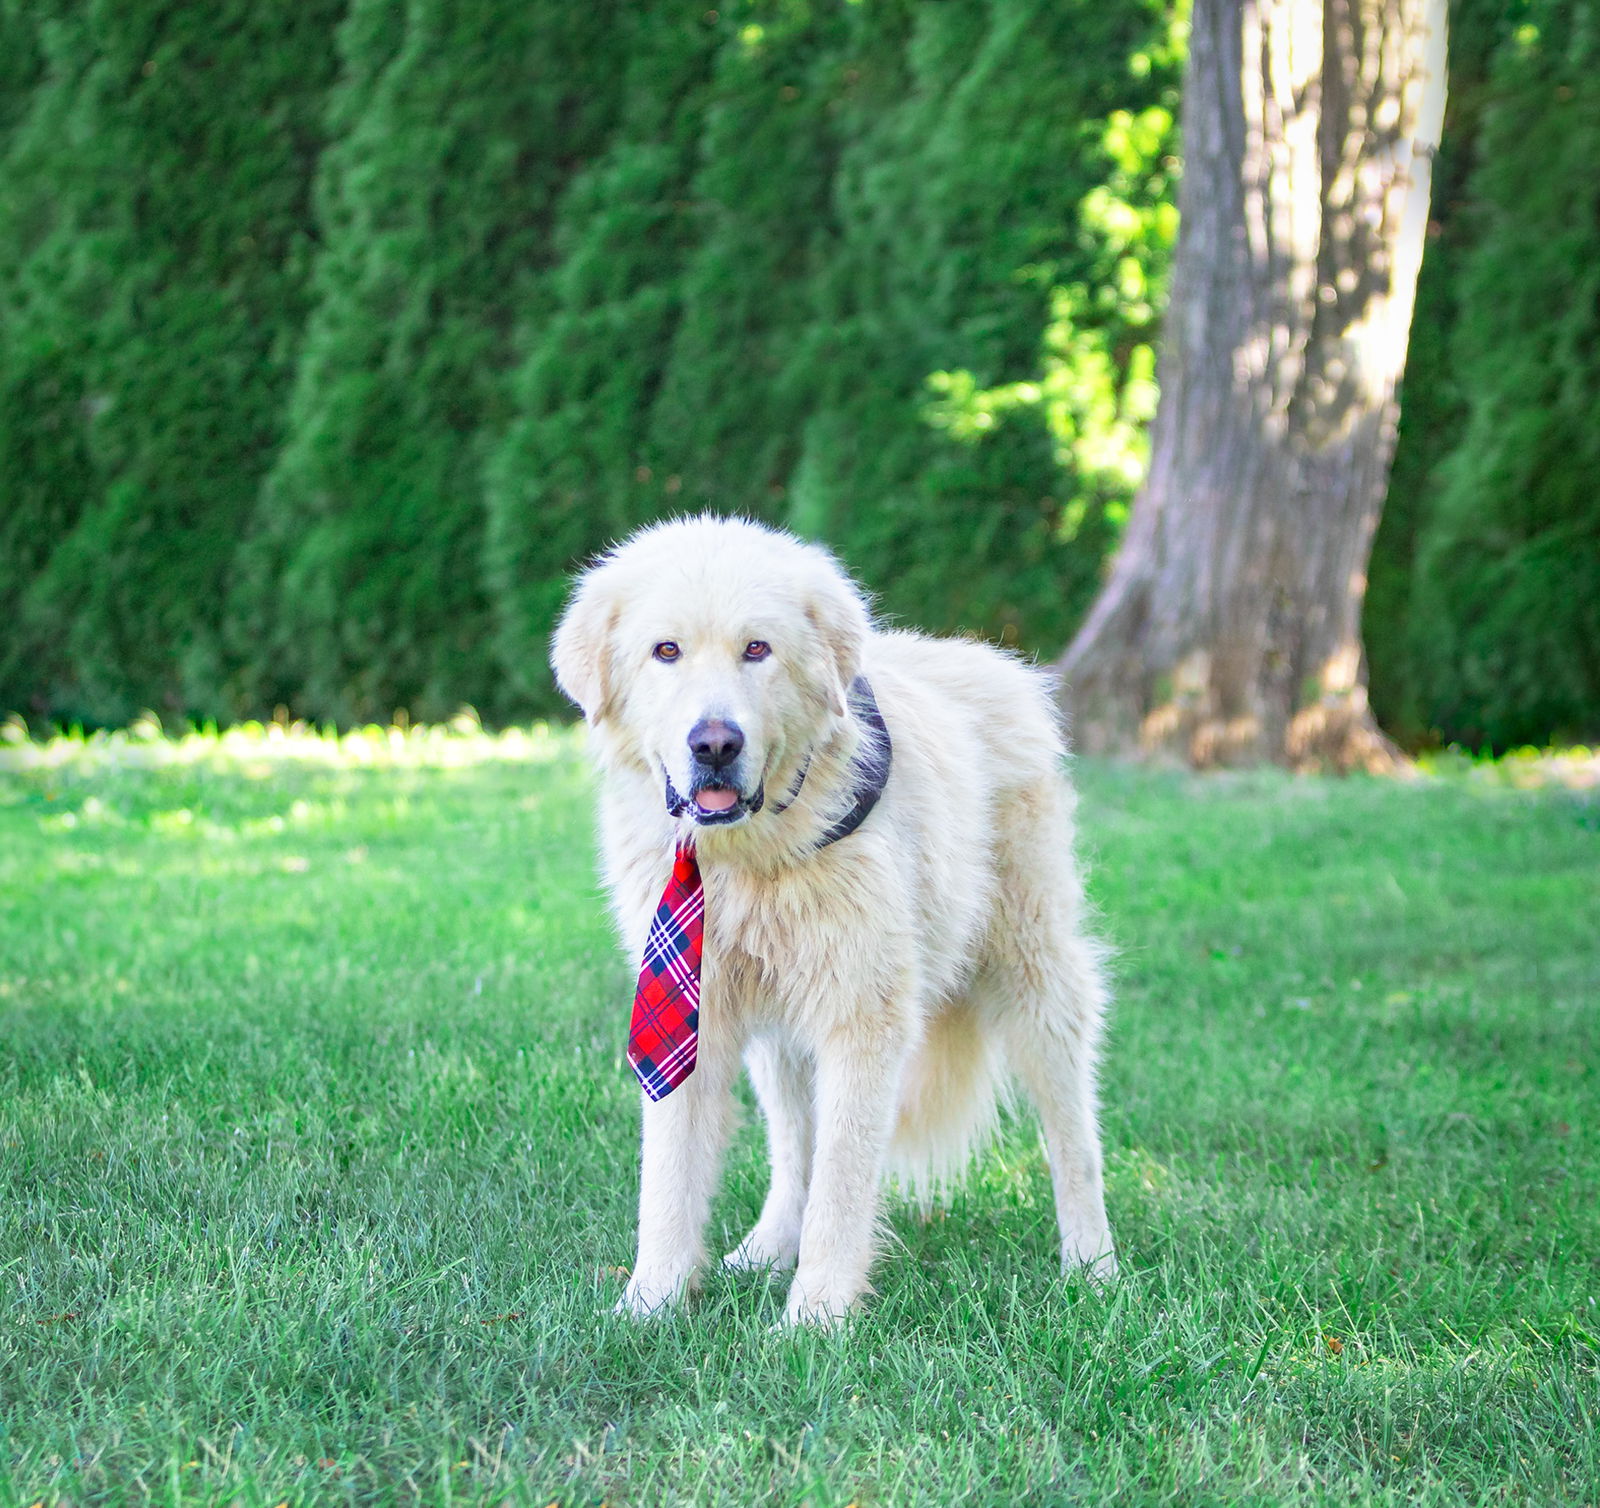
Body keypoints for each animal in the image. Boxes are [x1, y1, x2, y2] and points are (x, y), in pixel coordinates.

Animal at [550, 515, 1113, 1319]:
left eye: (757, 649)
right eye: (667, 651)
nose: (714, 744)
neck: (748, 856)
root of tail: (980, 658)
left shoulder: (861, 1015)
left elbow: (843, 1183)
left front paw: (815, 1318)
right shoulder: (695, 1007)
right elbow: (671, 1176)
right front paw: (649, 1306)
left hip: (1034, 973)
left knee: (1073, 1135)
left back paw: (1093, 1268)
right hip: (782, 1034)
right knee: (794, 1147)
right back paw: (764, 1249)